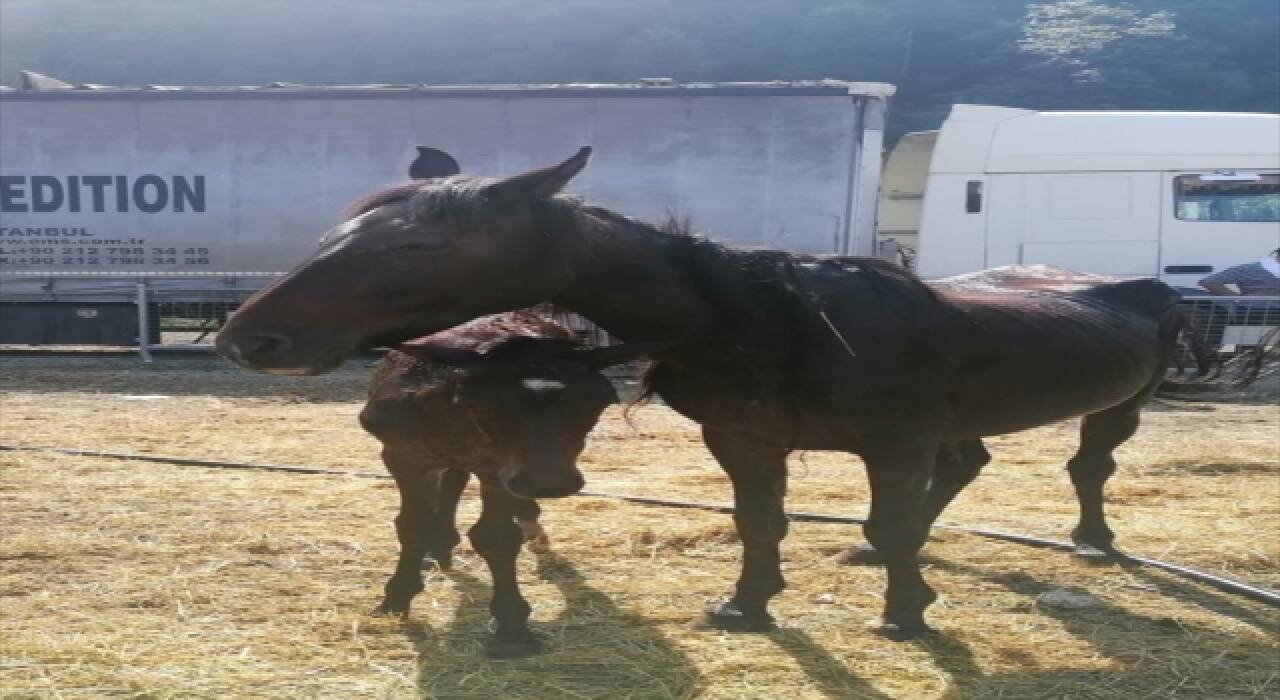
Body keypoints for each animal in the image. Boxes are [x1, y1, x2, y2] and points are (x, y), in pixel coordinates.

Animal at [366, 310, 655, 655]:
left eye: (597, 402)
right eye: (480, 404)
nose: (548, 481)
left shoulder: (498, 470)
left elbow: (496, 537)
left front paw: (511, 624)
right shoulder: (401, 454)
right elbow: (413, 525)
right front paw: (396, 597)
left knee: (460, 479)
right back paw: (441, 545)